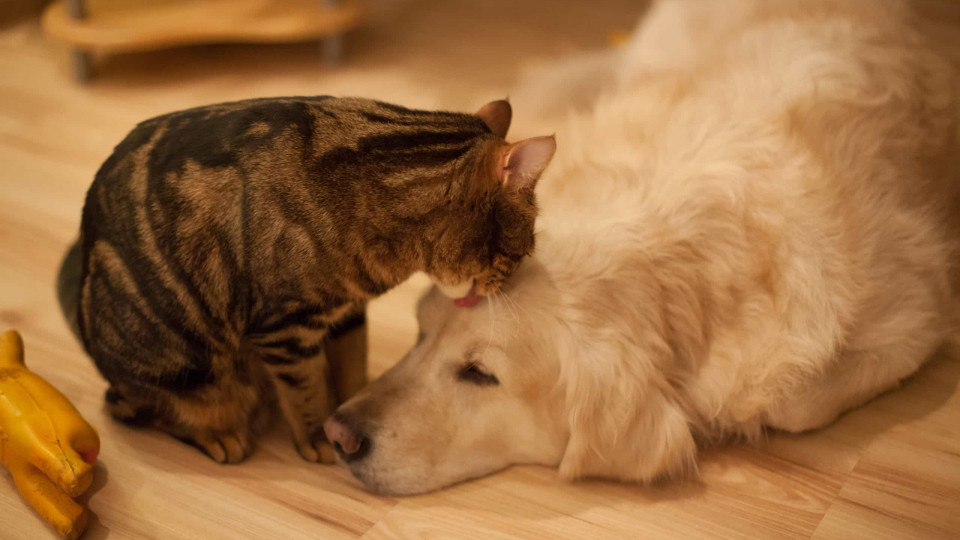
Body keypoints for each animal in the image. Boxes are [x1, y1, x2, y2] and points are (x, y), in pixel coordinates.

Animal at [56, 97, 556, 464]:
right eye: (519, 251)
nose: (506, 284)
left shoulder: (348, 314)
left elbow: (350, 366)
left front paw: (351, 409)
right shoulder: (286, 330)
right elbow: (308, 391)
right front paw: (319, 437)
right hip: (190, 370)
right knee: (144, 408)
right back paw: (220, 435)